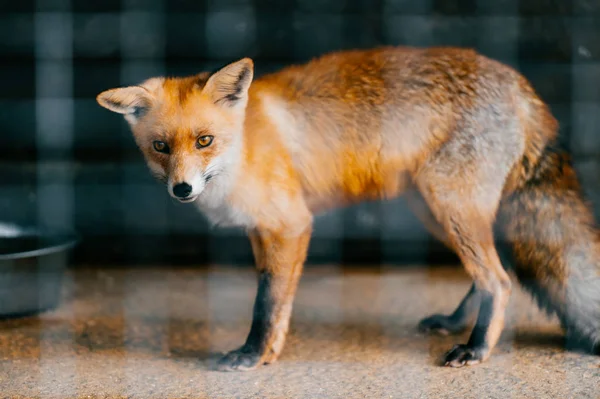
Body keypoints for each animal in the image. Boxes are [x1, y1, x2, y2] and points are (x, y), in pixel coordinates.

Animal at [97, 47, 600, 372]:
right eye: (161, 147)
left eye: (204, 140)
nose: (182, 189)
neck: (243, 148)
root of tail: (520, 84)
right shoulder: (262, 231)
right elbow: (275, 301)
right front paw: (269, 353)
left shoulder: (290, 224)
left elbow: (267, 302)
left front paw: (253, 355)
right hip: (435, 211)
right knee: (490, 273)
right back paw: (457, 323)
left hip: (450, 205)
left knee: (498, 279)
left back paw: (476, 349)